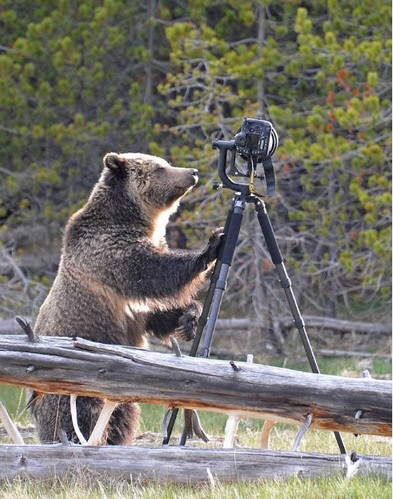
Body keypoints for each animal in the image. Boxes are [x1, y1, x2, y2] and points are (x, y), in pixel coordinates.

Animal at [29, 152, 222, 446]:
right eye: (160, 168)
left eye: (165, 163)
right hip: (74, 381)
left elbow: (153, 312)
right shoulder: (108, 252)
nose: (193, 172)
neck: (133, 220)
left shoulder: (133, 301)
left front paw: (190, 318)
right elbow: (151, 273)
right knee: (78, 417)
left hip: (120, 393)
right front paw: (210, 247)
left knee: (123, 415)